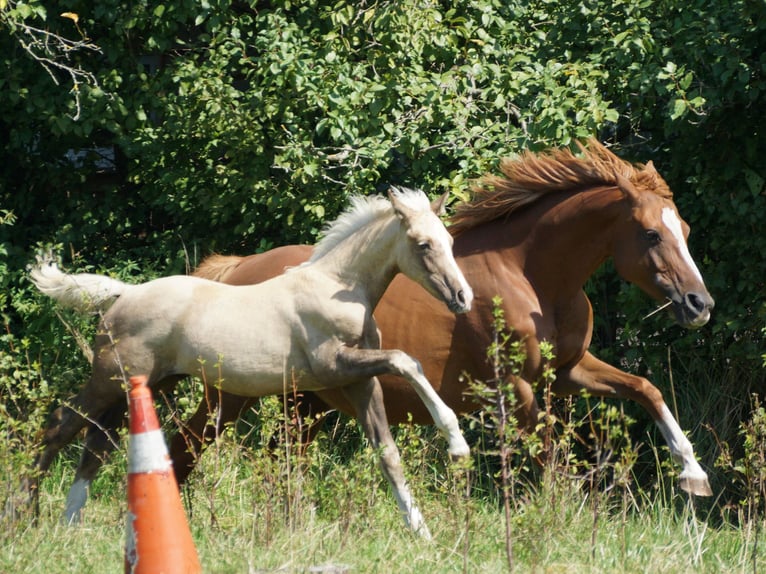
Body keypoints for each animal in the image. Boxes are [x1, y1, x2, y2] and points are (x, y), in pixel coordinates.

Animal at [25, 190, 474, 540]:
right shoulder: (336, 367)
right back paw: (27, 515)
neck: (335, 287)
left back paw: (69, 523)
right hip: (110, 379)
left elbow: (388, 454)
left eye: (449, 241)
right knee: (61, 425)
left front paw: (422, 533)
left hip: (148, 384)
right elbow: (406, 361)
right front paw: (457, 444)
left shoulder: (360, 383)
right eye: (423, 244)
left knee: (96, 445)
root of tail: (124, 293)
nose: (462, 297)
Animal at [171, 140, 716, 500]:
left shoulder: (568, 371)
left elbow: (646, 389)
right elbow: (548, 454)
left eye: (686, 229)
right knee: (188, 446)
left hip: (309, 404)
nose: (699, 304)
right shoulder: (513, 386)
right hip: (230, 397)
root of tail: (239, 268)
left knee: (280, 461)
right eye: (650, 234)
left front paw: (693, 473)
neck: (531, 279)